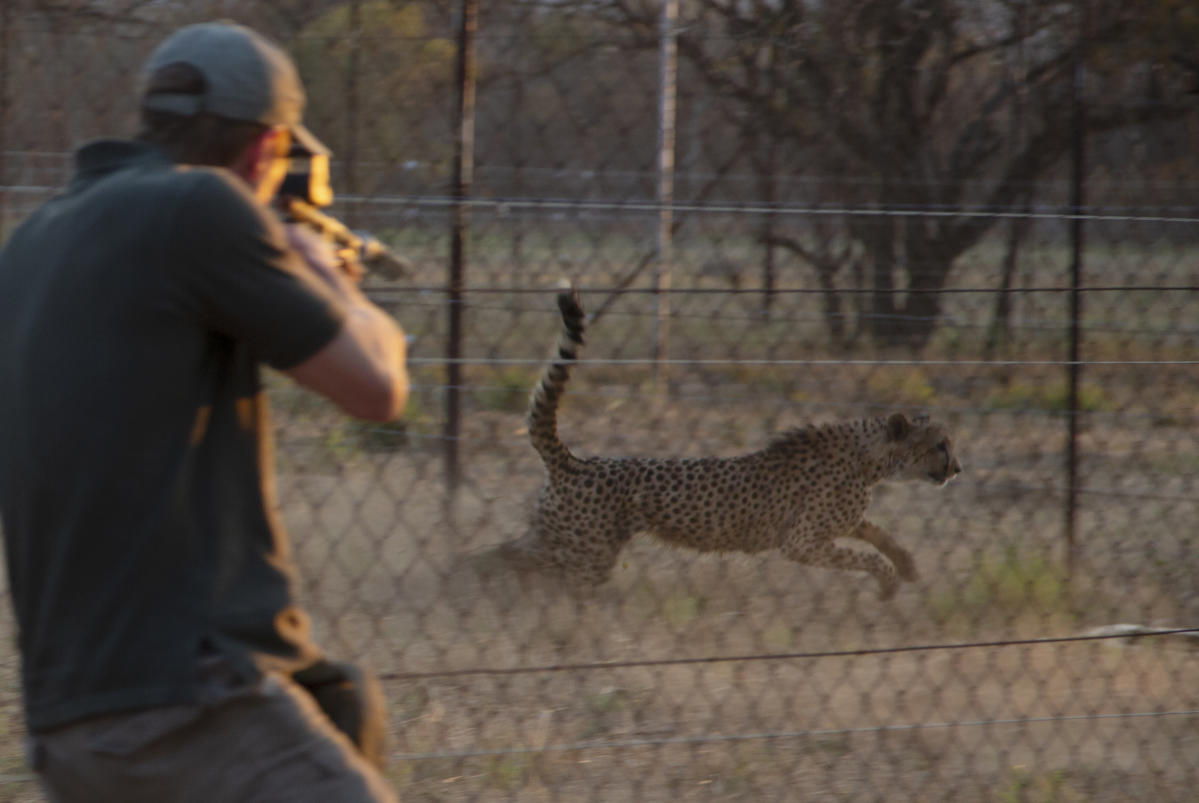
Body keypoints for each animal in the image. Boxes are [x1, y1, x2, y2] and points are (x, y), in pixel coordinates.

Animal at [496, 291, 963, 604]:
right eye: (940, 445)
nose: (957, 469)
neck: (869, 458)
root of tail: (576, 461)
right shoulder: (802, 541)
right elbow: (862, 554)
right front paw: (888, 583)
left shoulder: (835, 523)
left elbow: (876, 532)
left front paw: (907, 565)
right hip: (586, 552)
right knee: (509, 559)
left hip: (563, 537)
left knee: (505, 552)